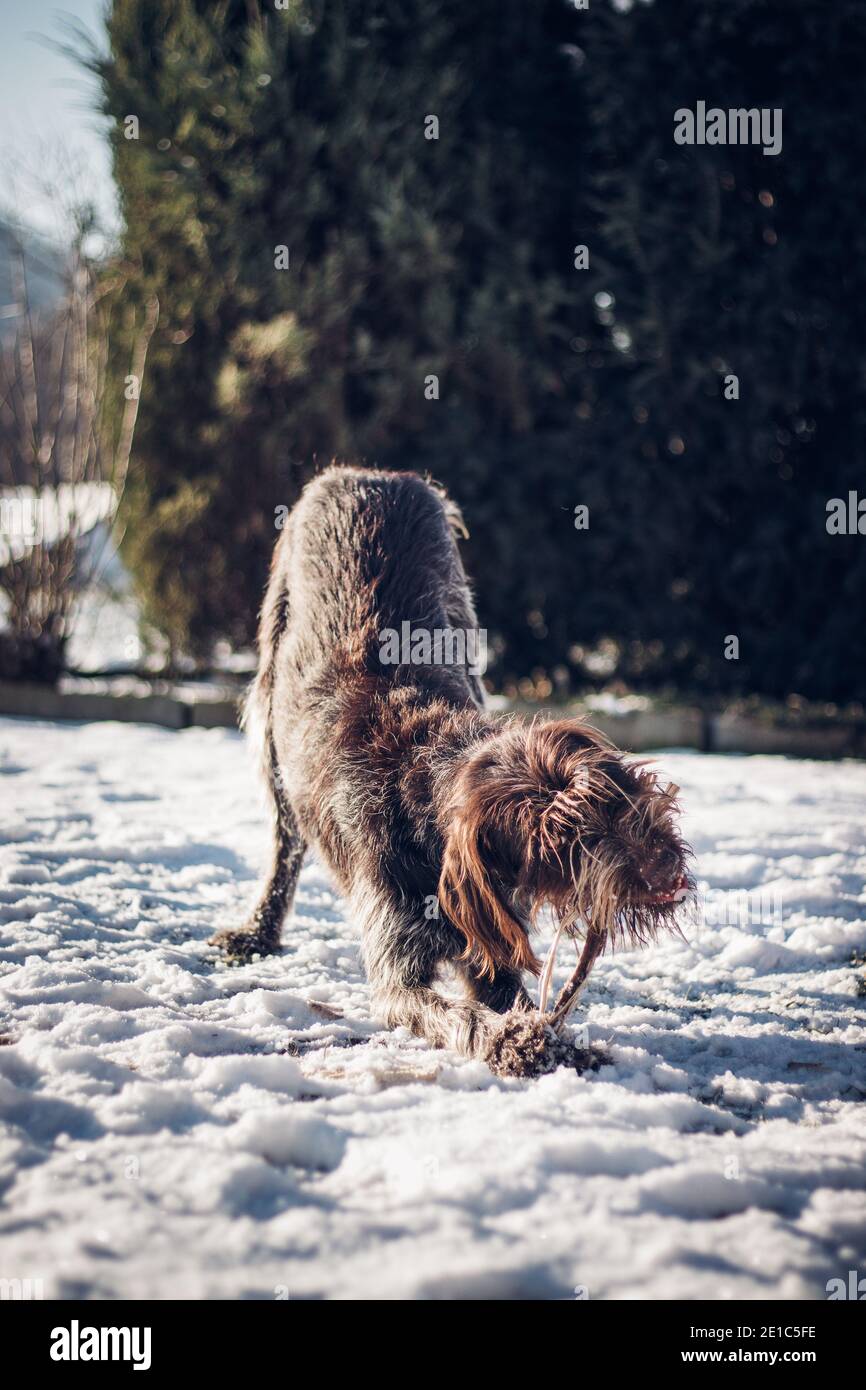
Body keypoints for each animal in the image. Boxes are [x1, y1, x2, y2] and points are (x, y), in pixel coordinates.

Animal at [209, 467, 692, 1073]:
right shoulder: (399, 971)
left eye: (609, 797)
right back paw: (259, 929)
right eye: (556, 840)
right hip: (269, 709)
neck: (418, 782)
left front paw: (558, 1043)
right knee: (284, 843)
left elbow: (507, 995)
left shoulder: (491, 947)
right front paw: (518, 1043)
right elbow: (457, 1015)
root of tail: (363, 475)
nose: (665, 869)